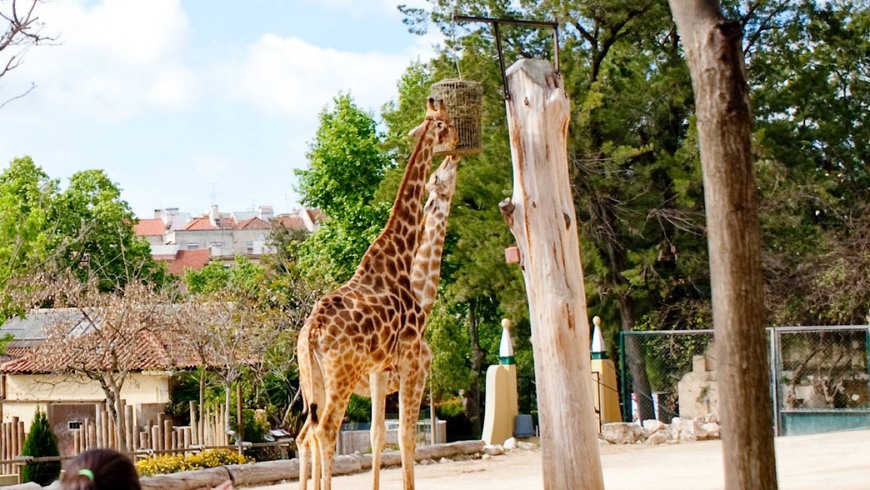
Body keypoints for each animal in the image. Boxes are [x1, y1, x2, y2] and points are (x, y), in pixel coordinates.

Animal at [296, 96, 460, 490]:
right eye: (446, 124)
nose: (456, 151)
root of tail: (310, 334)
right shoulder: (411, 359)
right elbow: (404, 435)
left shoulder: (382, 369)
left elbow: (378, 434)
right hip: (340, 377)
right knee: (325, 431)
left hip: (314, 380)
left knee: (308, 434)